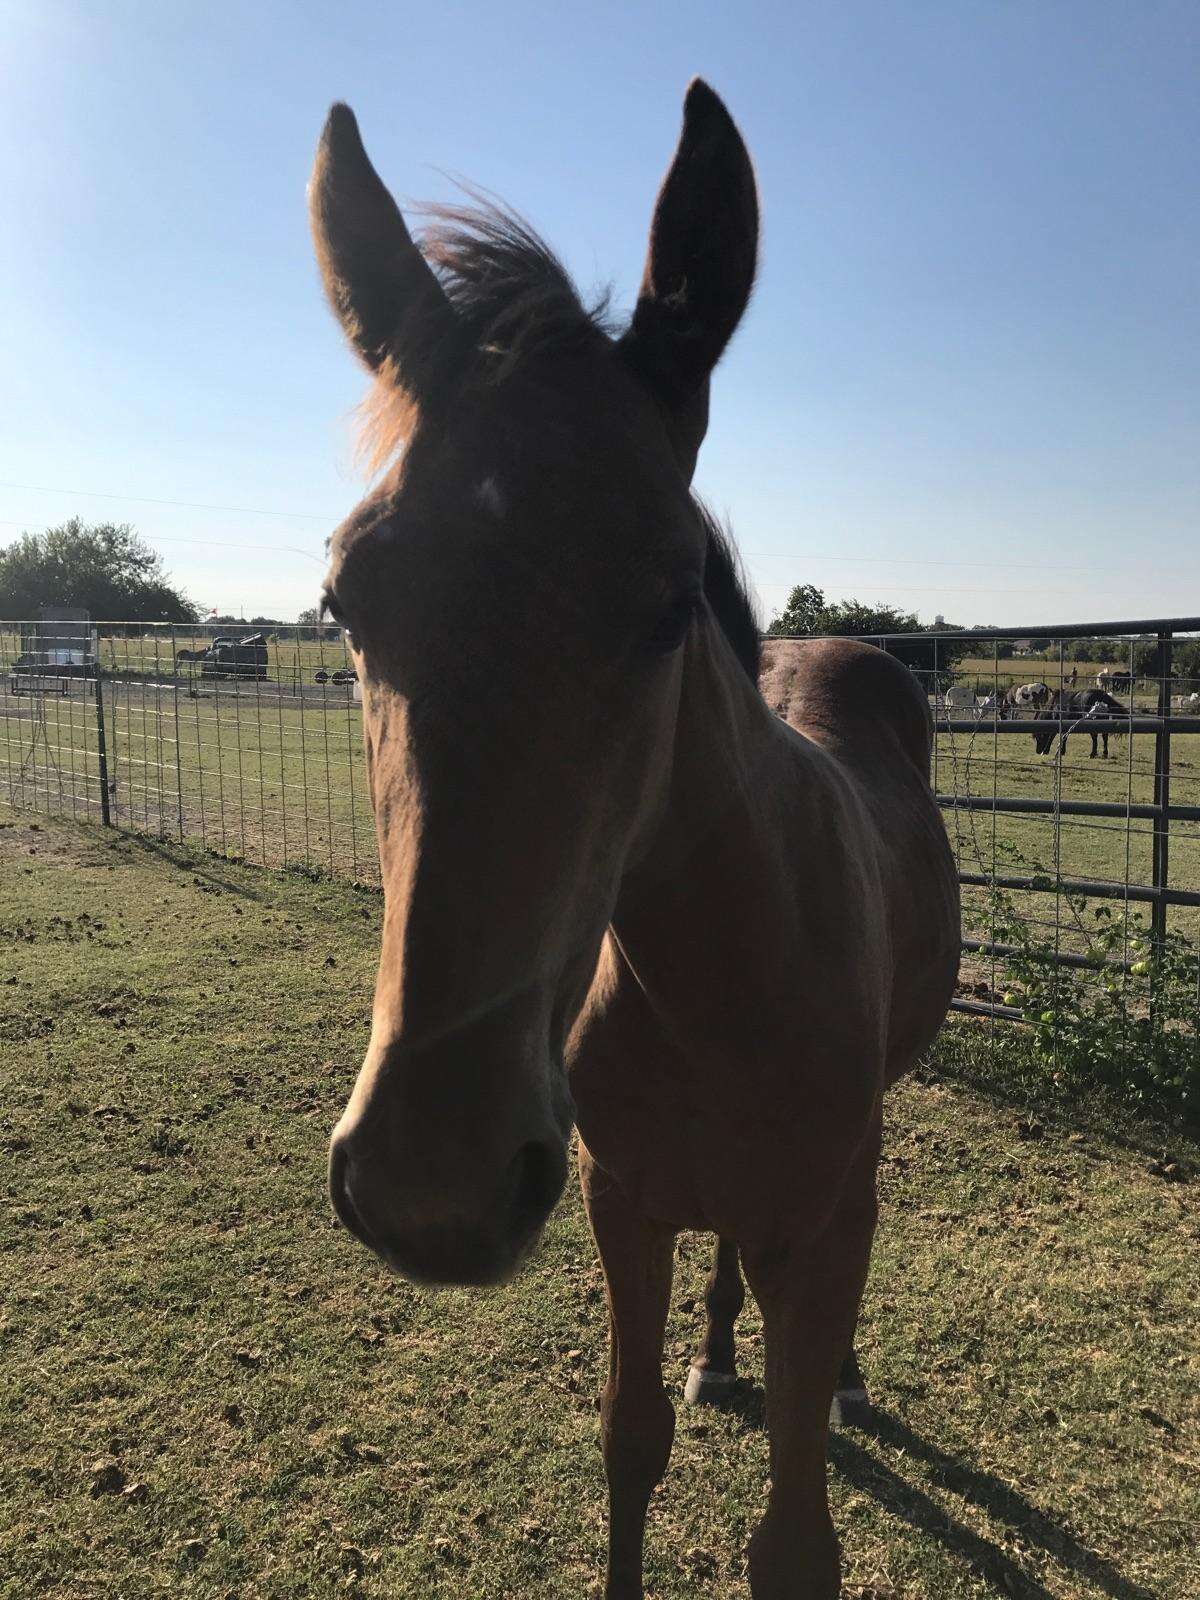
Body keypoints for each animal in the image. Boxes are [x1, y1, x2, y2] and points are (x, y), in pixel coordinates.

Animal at [315, 81, 966, 1593]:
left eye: (674, 597)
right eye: (343, 601)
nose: (431, 1186)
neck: (726, 971)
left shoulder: (820, 1225)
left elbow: (794, 1540)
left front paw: (821, 1394)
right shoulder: (623, 1205)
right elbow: (631, 1441)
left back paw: (843, 1377)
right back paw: (728, 1350)